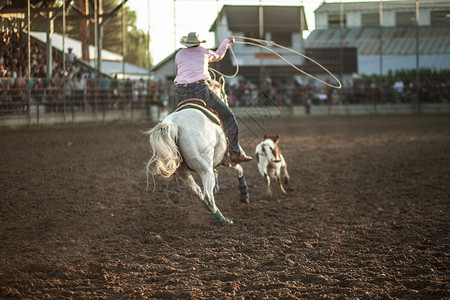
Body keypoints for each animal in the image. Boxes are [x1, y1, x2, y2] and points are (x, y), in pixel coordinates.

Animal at [144, 84, 248, 225]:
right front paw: (244, 194)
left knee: (197, 191)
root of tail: (174, 123)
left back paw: (211, 209)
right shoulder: (226, 159)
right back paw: (222, 219)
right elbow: (239, 168)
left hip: (182, 170)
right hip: (204, 169)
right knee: (207, 195)